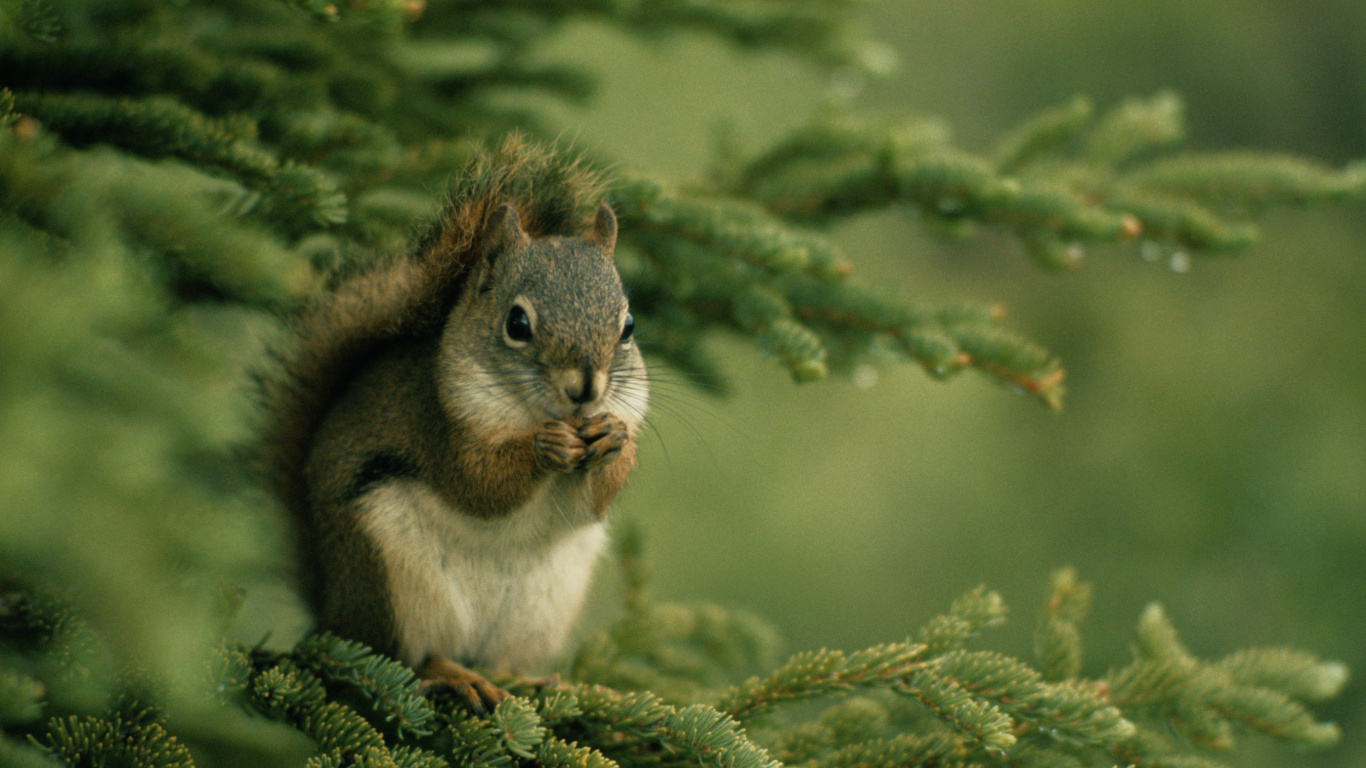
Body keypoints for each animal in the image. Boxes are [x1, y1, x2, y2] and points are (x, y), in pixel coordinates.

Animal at [258, 137, 648, 710]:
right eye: (517, 323)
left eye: (628, 326)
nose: (585, 390)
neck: (535, 410)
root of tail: (334, 610)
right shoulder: (437, 427)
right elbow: (477, 485)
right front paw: (542, 446)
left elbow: (591, 502)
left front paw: (614, 439)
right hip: (392, 578)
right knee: (405, 656)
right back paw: (454, 674)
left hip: (542, 606)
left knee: (500, 660)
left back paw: (537, 681)